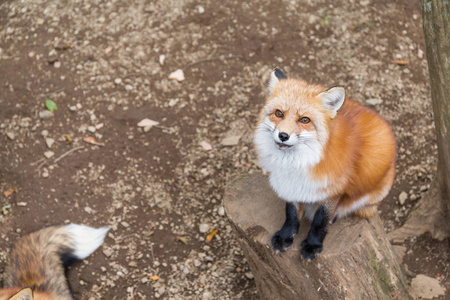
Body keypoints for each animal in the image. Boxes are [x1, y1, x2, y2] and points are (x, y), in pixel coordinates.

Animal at [255, 68, 396, 260]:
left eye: (304, 120)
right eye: (278, 113)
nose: (283, 135)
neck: (298, 163)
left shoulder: (332, 189)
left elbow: (320, 220)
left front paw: (312, 244)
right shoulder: (290, 185)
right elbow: (291, 213)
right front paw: (285, 236)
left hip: (372, 197)